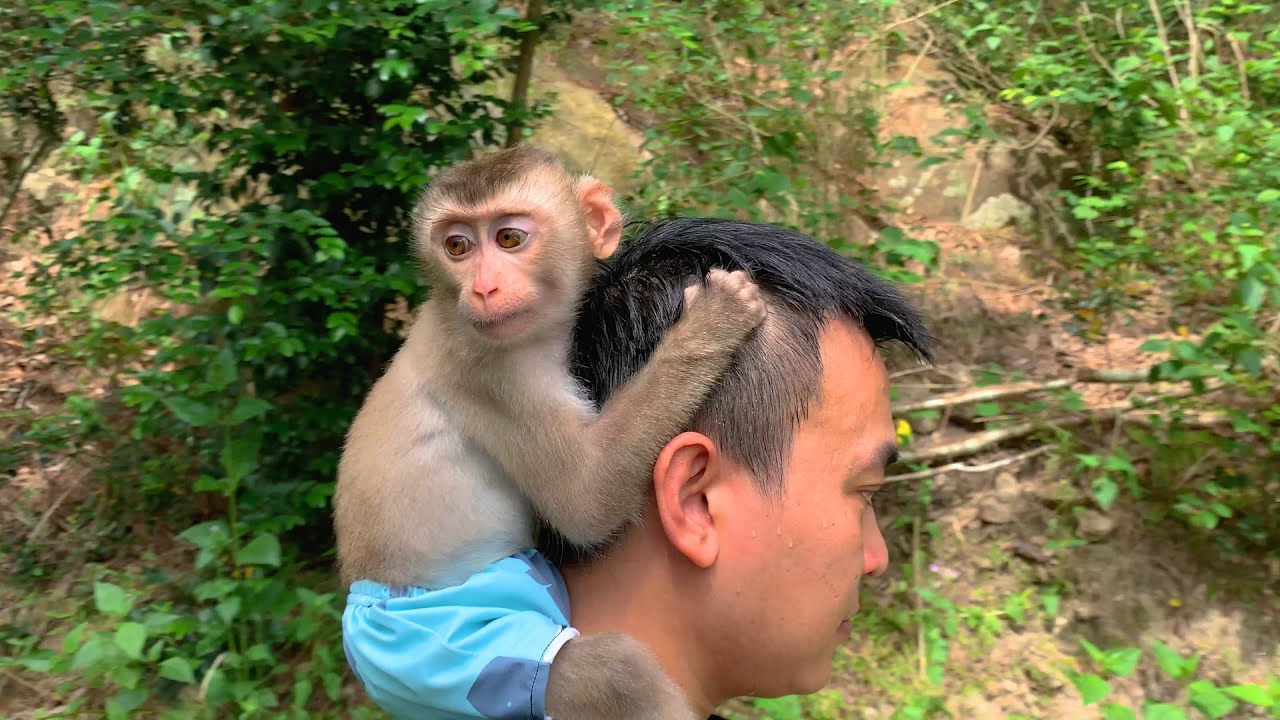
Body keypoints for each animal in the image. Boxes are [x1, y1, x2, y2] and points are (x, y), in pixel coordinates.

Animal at [332, 145, 767, 720]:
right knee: (613, 673)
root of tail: (362, 602)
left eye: (509, 239)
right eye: (457, 246)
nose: (483, 288)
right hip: (431, 649)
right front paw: (713, 322)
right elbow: (585, 500)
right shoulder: (494, 371)